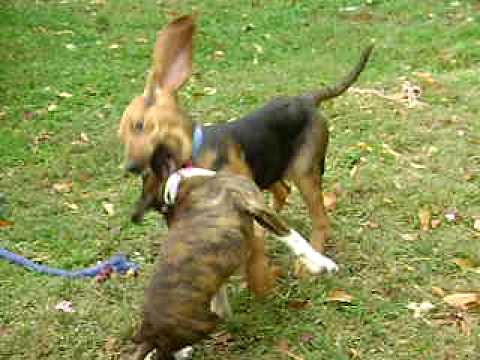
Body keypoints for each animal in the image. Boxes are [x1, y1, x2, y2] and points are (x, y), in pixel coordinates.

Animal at [118, 14, 374, 253]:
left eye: (139, 125)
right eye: (121, 138)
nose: (129, 167)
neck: (195, 153)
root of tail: (307, 99)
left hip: (304, 171)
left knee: (320, 219)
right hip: (269, 164)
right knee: (282, 192)